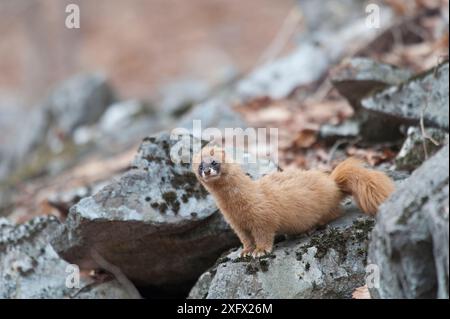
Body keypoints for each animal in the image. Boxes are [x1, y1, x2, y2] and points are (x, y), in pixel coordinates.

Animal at [192, 146, 396, 258]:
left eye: (214, 162)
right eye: (200, 166)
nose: (207, 171)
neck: (236, 208)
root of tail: (332, 182)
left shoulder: (262, 216)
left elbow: (264, 234)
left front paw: (260, 251)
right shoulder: (235, 224)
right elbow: (245, 239)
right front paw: (246, 251)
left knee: (337, 212)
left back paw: (312, 227)